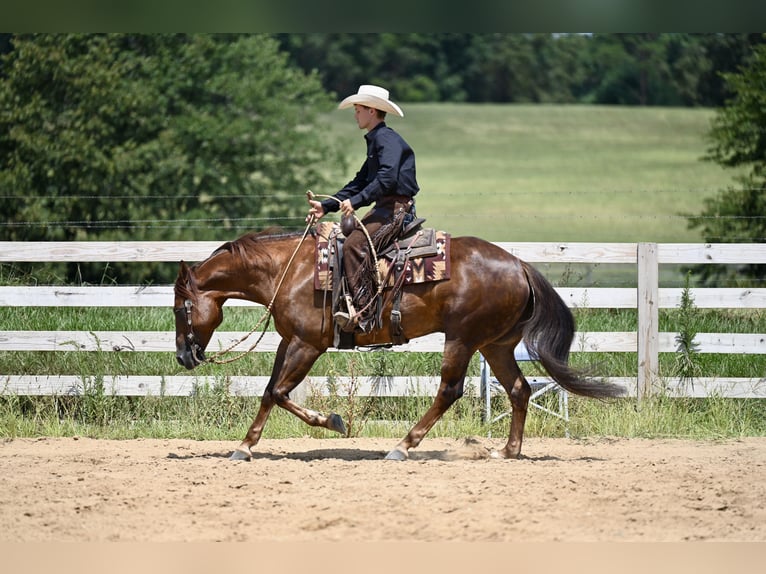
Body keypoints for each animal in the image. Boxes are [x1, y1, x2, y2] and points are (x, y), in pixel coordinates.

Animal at [174, 227, 624, 461]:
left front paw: (332, 422)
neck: (291, 270)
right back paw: (507, 451)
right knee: (519, 389)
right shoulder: (289, 341)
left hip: (462, 338)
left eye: (181, 307)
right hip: (495, 344)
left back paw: (404, 446)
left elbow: (281, 392)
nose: (182, 356)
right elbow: (270, 392)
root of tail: (521, 266)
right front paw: (246, 445)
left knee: (450, 390)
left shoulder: (307, 344)